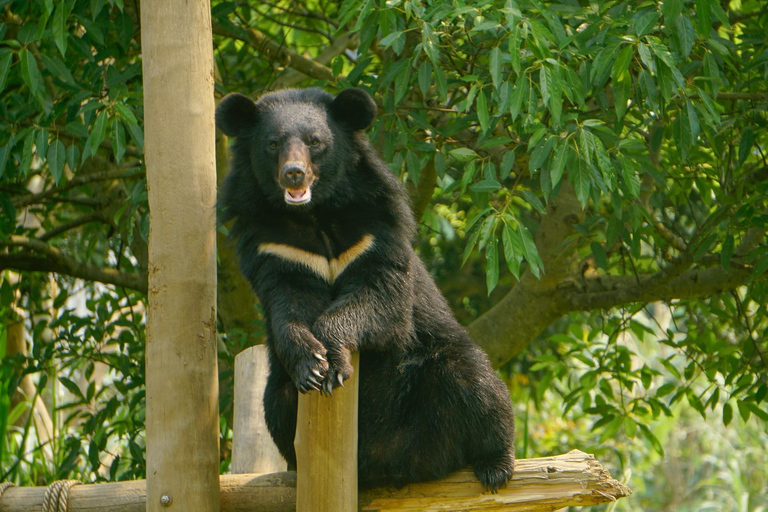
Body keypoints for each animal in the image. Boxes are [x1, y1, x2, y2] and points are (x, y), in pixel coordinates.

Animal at [216, 87, 515, 491]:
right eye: (273, 143)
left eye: (315, 142)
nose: (293, 174)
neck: (314, 214)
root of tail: (396, 463)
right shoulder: (278, 249)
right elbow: (287, 305)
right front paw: (312, 366)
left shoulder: (374, 232)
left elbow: (382, 297)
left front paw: (334, 364)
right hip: (278, 398)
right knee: (277, 402)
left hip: (446, 371)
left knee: (477, 384)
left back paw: (495, 466)